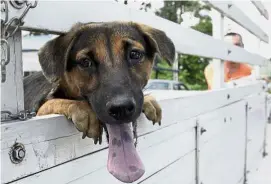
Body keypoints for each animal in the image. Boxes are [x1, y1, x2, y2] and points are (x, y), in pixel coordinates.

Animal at [23, 21, 176, 183]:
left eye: (134, 54)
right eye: (85, 62)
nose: (121, 108)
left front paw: (149, 100)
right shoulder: (40, 109)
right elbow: (54, 102)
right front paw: (83, 111)